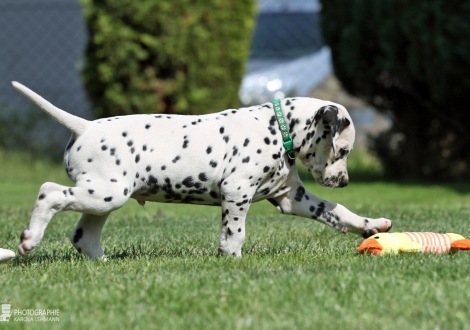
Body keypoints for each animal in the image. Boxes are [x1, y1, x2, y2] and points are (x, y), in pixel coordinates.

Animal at [11, 82, 392, 258]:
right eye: (343, 150)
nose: (343, 181)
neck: (275, 127)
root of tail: (85, 127)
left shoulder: (291, 197)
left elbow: (337, 212)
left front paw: (372, 225)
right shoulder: (237, 192)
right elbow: (235, 231)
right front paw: (231, 258)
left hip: (103, 197)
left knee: (83, 236)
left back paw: (103, 263)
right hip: (105, 192)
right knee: (49, 193)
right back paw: (30, 240)